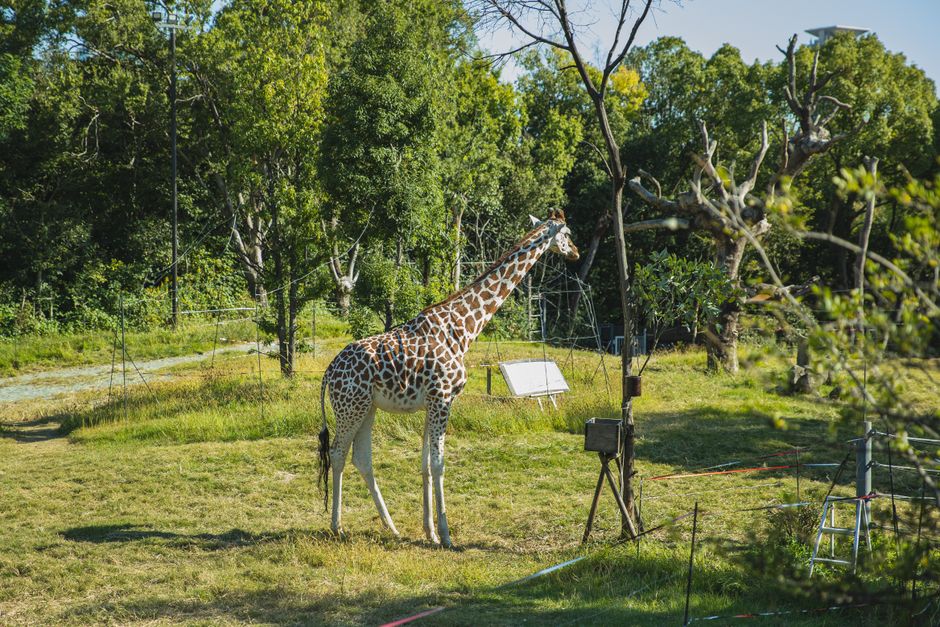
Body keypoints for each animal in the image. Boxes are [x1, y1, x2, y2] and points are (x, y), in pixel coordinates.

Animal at [317, 209, 579, 547]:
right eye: (567, 232)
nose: (576, 252)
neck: (464, 328)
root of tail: (328, 372)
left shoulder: (432, 401)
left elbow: (426, 465)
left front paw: (429, 531)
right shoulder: (442, 397)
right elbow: (439, 463)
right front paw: (445, 535)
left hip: (368, 407)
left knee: (361, 458)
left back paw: (391, 527)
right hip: (350, 407)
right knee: (337, 453)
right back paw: (337, 527)